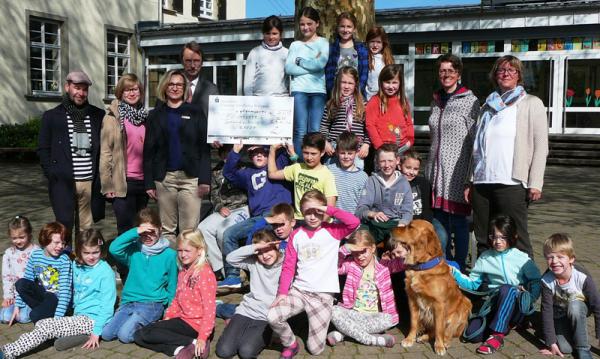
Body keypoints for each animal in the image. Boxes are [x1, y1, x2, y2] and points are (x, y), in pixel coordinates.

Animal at [394, 221, 474, 356]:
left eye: (411, 227)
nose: (392, 228)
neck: (421, 268)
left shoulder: (439, 304)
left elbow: (439, 329)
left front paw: (439, 346)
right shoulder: (412, 299)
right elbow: (413, 323)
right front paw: (409, 339)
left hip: (465, 303)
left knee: (448, 332)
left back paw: (445, 342)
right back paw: (423, 337)